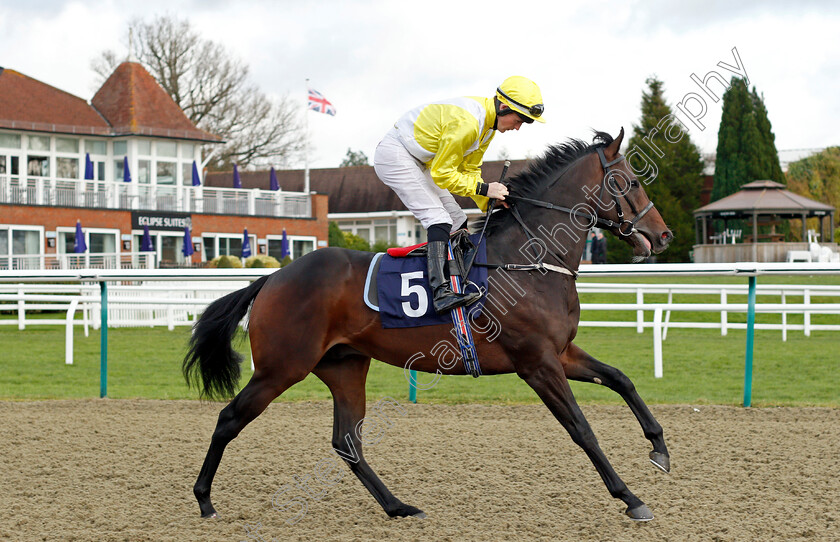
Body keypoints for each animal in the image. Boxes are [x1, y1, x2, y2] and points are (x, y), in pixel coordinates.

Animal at [184, 127, 676, 524]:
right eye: (632, 182)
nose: (664, 235)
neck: (529, 258)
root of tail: (272, 277)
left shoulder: (561, 353)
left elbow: (621, 379)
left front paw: (659, 448)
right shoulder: (537, 363)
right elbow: (581, 428)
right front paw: (630, 498)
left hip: (344, 366)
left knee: (347, 442)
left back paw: (398, 506)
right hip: (281, 367)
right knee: (229, 419)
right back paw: (205, 500)